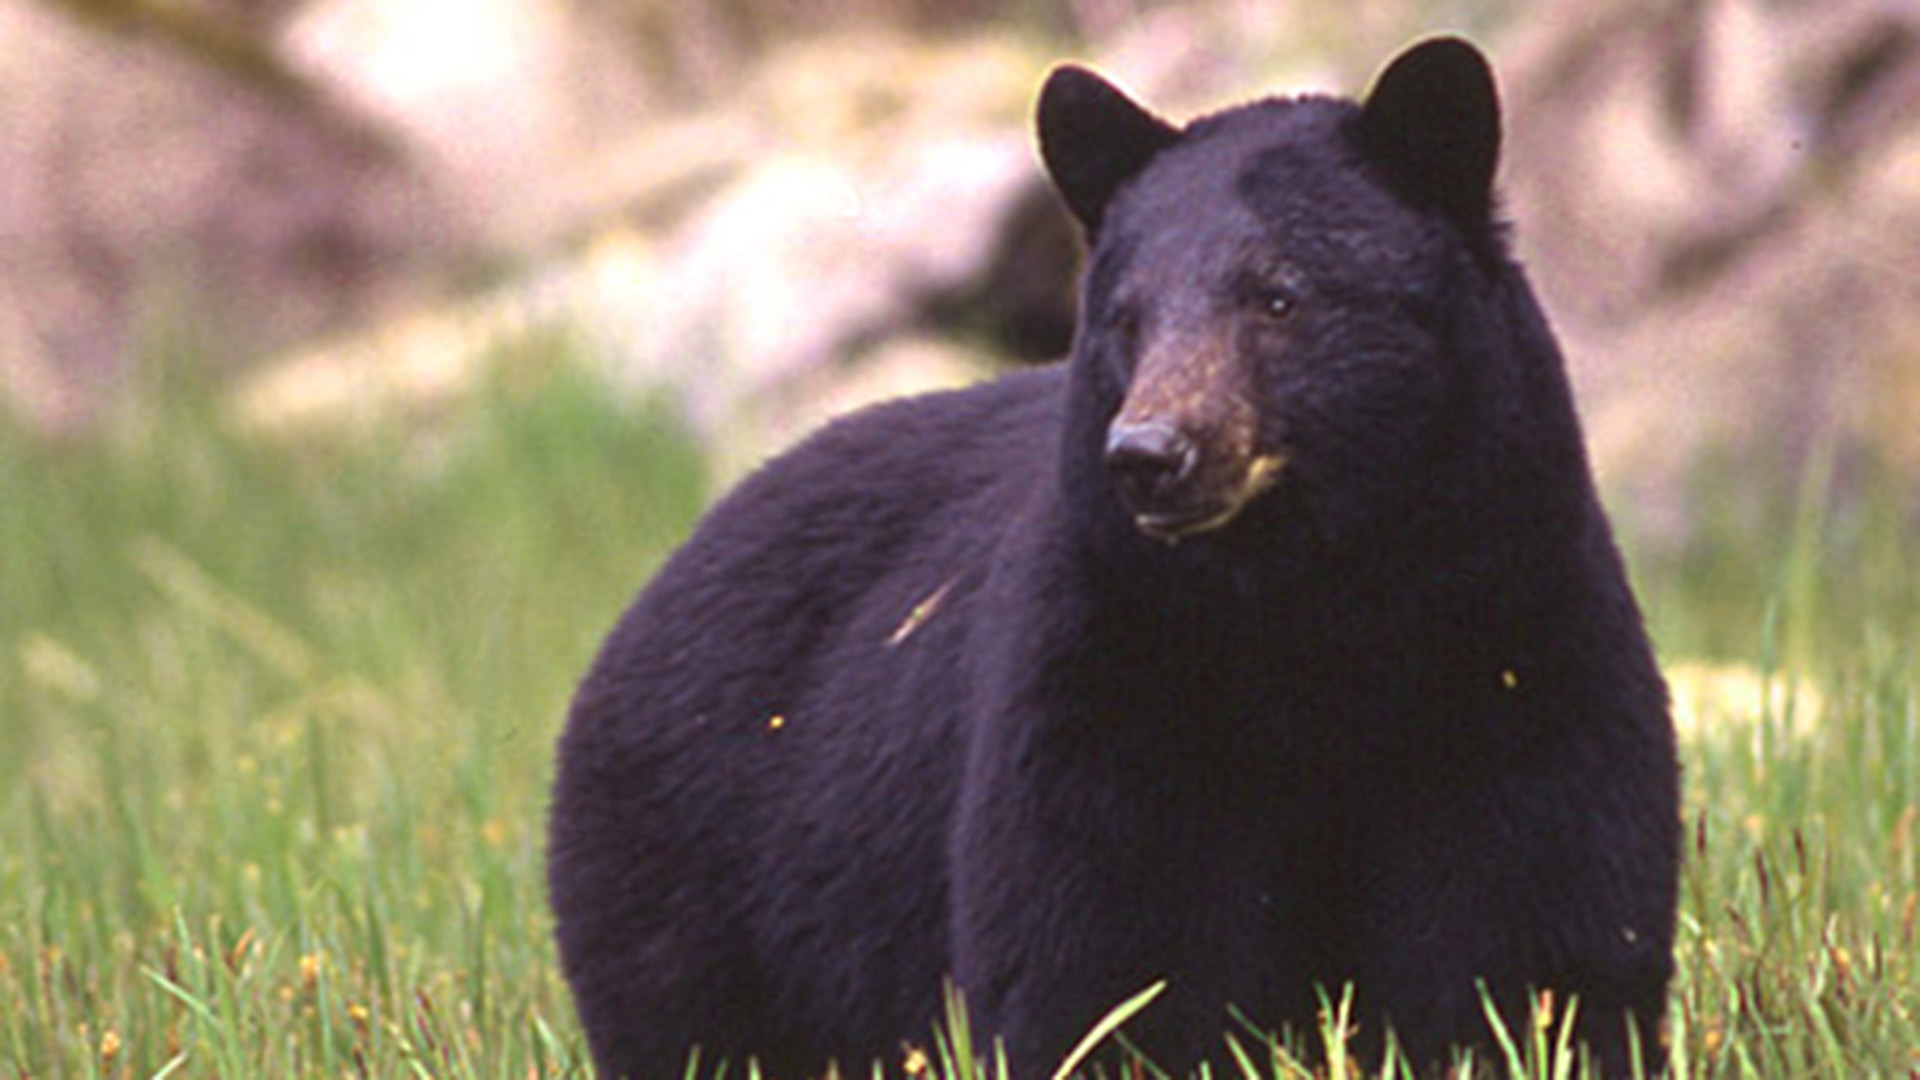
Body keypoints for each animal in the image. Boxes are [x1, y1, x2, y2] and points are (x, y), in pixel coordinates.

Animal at [547, 36, 1681, 1080]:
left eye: (1278, 295)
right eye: (1126, 316)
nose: (1150, 455)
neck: (1311, 604)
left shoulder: (1510, 630)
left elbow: (1528, 911)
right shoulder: (1116, 665)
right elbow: (1111, 940)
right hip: (699, 859)